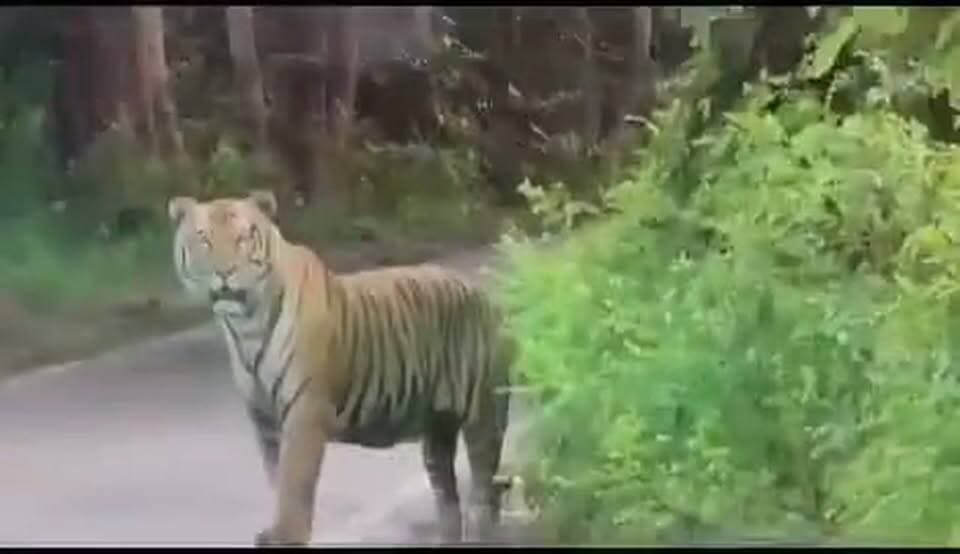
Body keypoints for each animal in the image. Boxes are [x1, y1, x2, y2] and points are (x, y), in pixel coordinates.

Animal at [168, 190, 512, 546]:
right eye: (204, 239)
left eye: (243, 238)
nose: (225, 272)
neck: (244, 326)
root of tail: (483, 295)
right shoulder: (264, 419)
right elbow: (277, 476)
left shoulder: (304, 412)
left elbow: (294, 482)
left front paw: (287, 534)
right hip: (437, 432)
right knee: (448, 499)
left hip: (484, 418)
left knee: (484, 491)